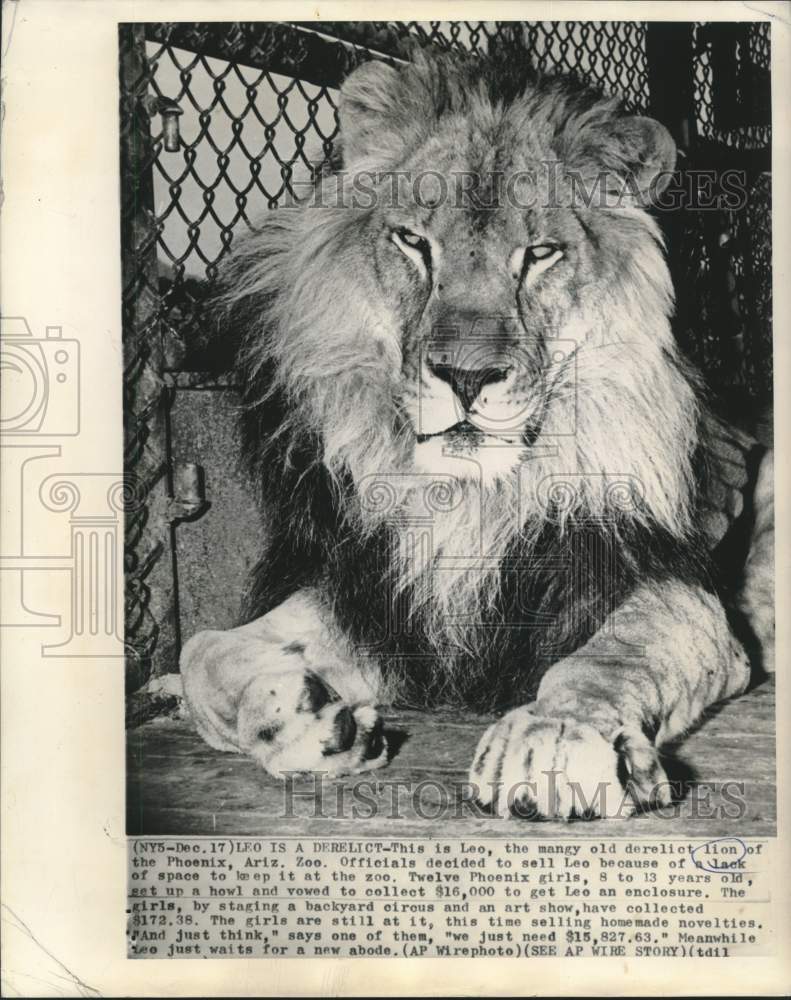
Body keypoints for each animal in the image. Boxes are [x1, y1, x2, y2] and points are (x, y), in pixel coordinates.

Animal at [180, 49, 774, 820]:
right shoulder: (374, 597)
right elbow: (203, 651)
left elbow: (608, 657)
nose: (465, 377)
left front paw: (555, 739)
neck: (468, 500)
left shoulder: (666, 584)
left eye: (541, 254)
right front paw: (306, 720)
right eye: (412, 242)